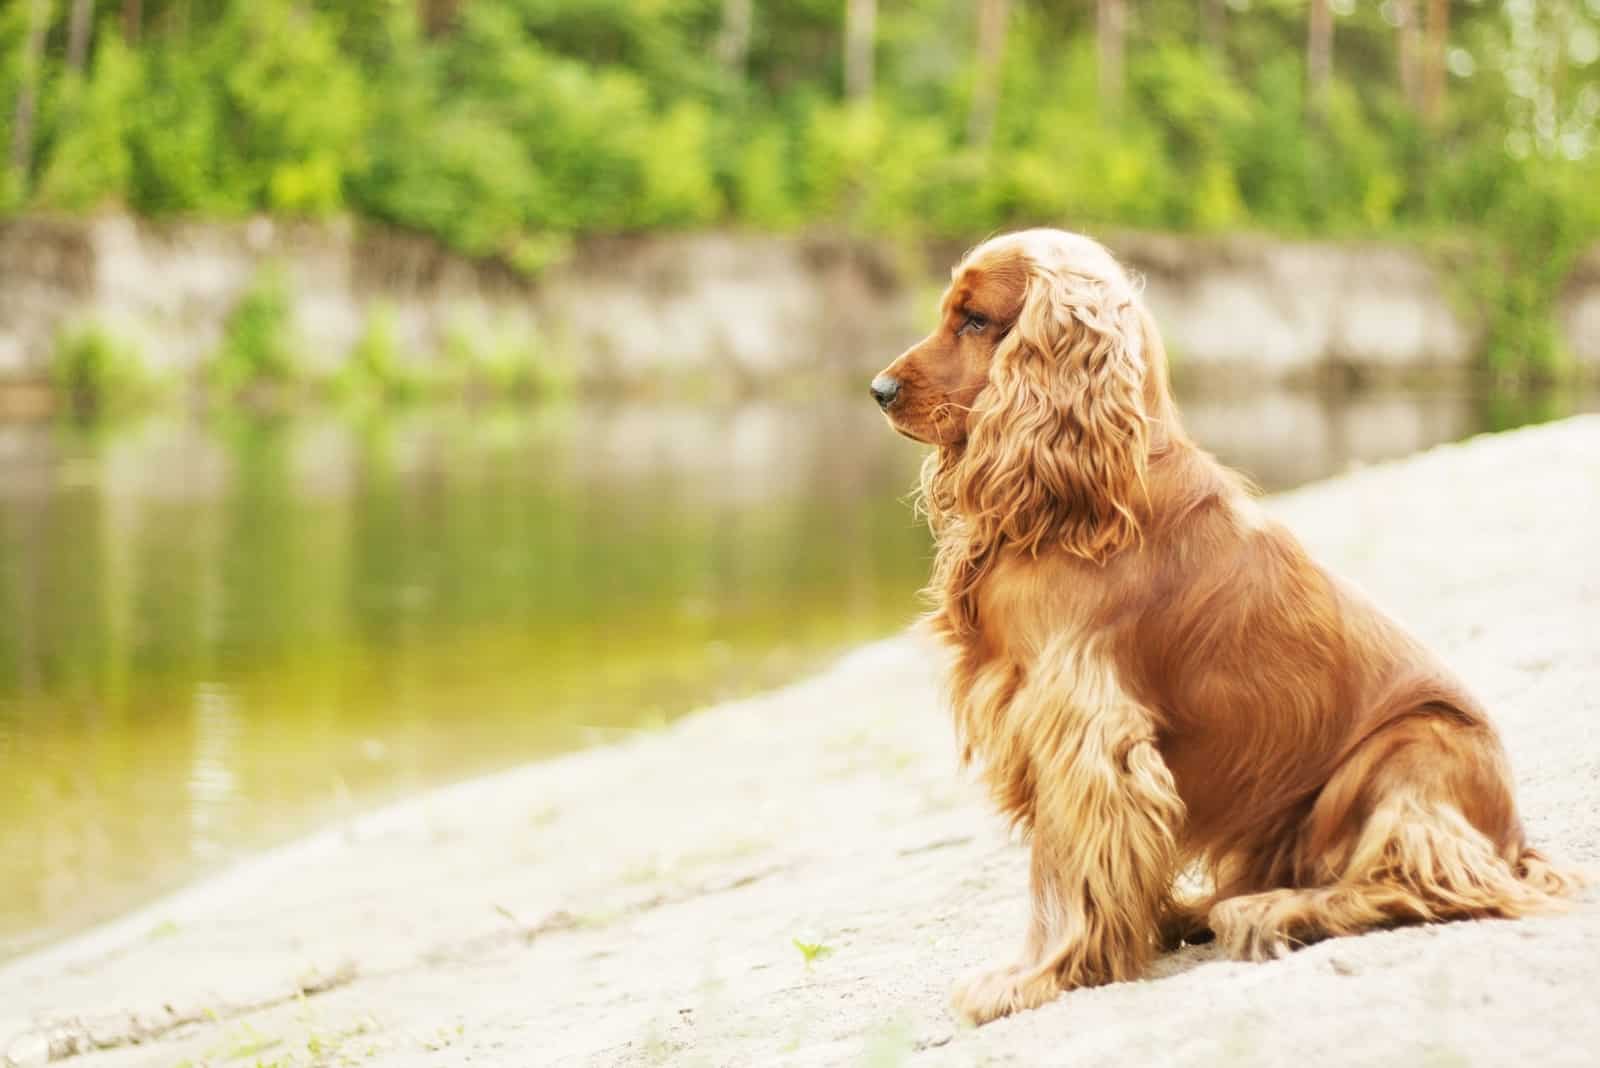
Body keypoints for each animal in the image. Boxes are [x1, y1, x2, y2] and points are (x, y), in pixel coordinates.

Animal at [870, 227, 1580, 1023]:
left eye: (974, 320)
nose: (879, 390)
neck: (1088, 494)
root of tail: (1513, 838)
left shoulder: (1084, 727)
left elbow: (1061, 871)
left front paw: (1037, 975)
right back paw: (1196, 909)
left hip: (1407, 753)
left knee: (1413, 881)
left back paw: (1271, 910)